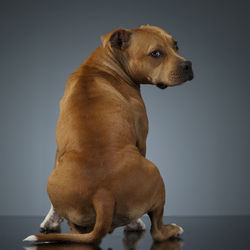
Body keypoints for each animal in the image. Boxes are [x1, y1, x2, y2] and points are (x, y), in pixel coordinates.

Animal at [23, 24, 193, 244]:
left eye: (176, 45)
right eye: (156, 53)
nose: (187, 65)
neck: (102, 65)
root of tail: (103, 194)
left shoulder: (59, 151)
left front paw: (50, 221)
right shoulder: (141, 141)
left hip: (54, 182)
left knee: (75, 229)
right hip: (156, 175)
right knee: (156, 229)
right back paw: (166, 229)